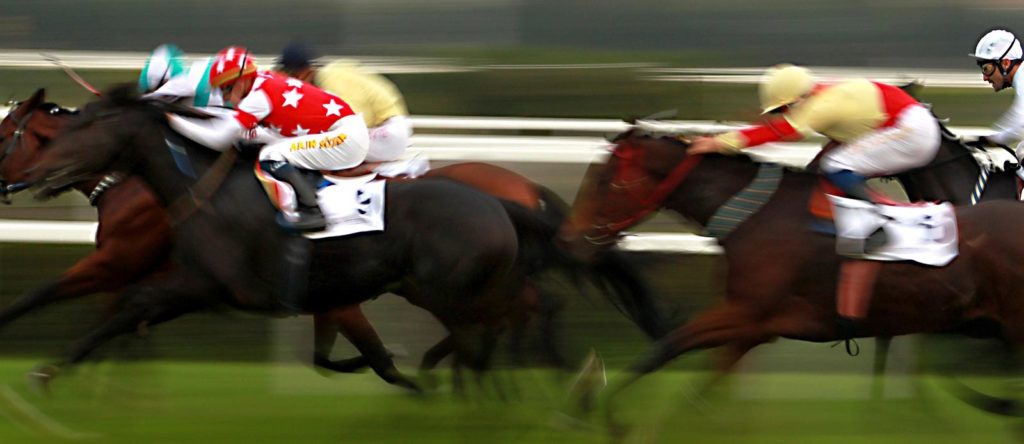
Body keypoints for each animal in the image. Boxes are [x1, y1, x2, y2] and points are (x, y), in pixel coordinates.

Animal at [559, 129, 1024, 423]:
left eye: (604, 184)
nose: (567, 241)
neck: (755, 216)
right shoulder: (752, 326)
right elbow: (703, 380)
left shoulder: (746, 313)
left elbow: (665, 347)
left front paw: (595, 406)